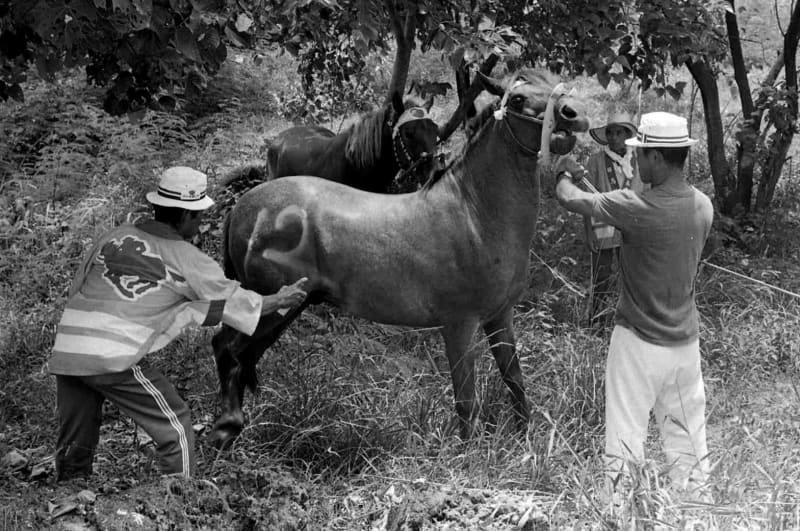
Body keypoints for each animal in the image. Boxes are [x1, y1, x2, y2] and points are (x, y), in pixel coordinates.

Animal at [209, 68, 592, 446]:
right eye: (517, 99)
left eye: (553, 83)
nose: (573, 113)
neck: (474, 214)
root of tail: (244, 207)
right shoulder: (459, 324)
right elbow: (466, 399)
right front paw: (469, 455)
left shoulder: (500, 317)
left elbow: (515, 380)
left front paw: (526, 440)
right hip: (271, 307)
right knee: (227, 349)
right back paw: (226, 430)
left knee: (241, 356)